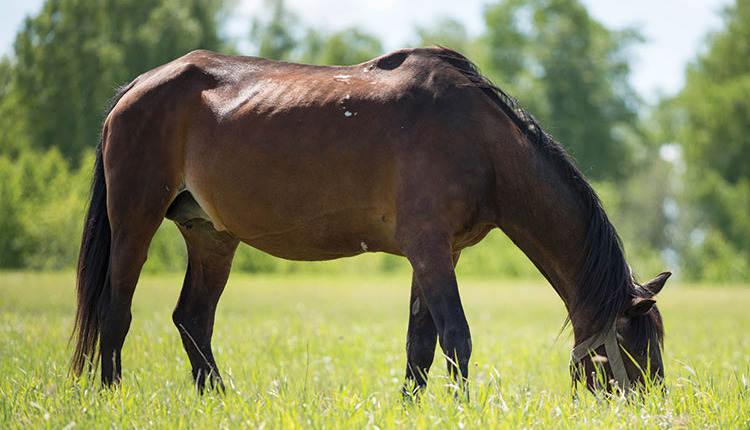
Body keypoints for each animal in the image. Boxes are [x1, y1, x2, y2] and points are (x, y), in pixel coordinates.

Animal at [70, 46, 668, 394]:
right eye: (637, 351)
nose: (650, 404)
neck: (480, 142)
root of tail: (135, 87)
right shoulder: (429, 250)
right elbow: (457, 339)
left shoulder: (436, 255)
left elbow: (419, 349)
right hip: (136, 220)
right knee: (116, 312)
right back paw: (110, 394)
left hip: (211, 236)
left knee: (192, 320)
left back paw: (218, 399)